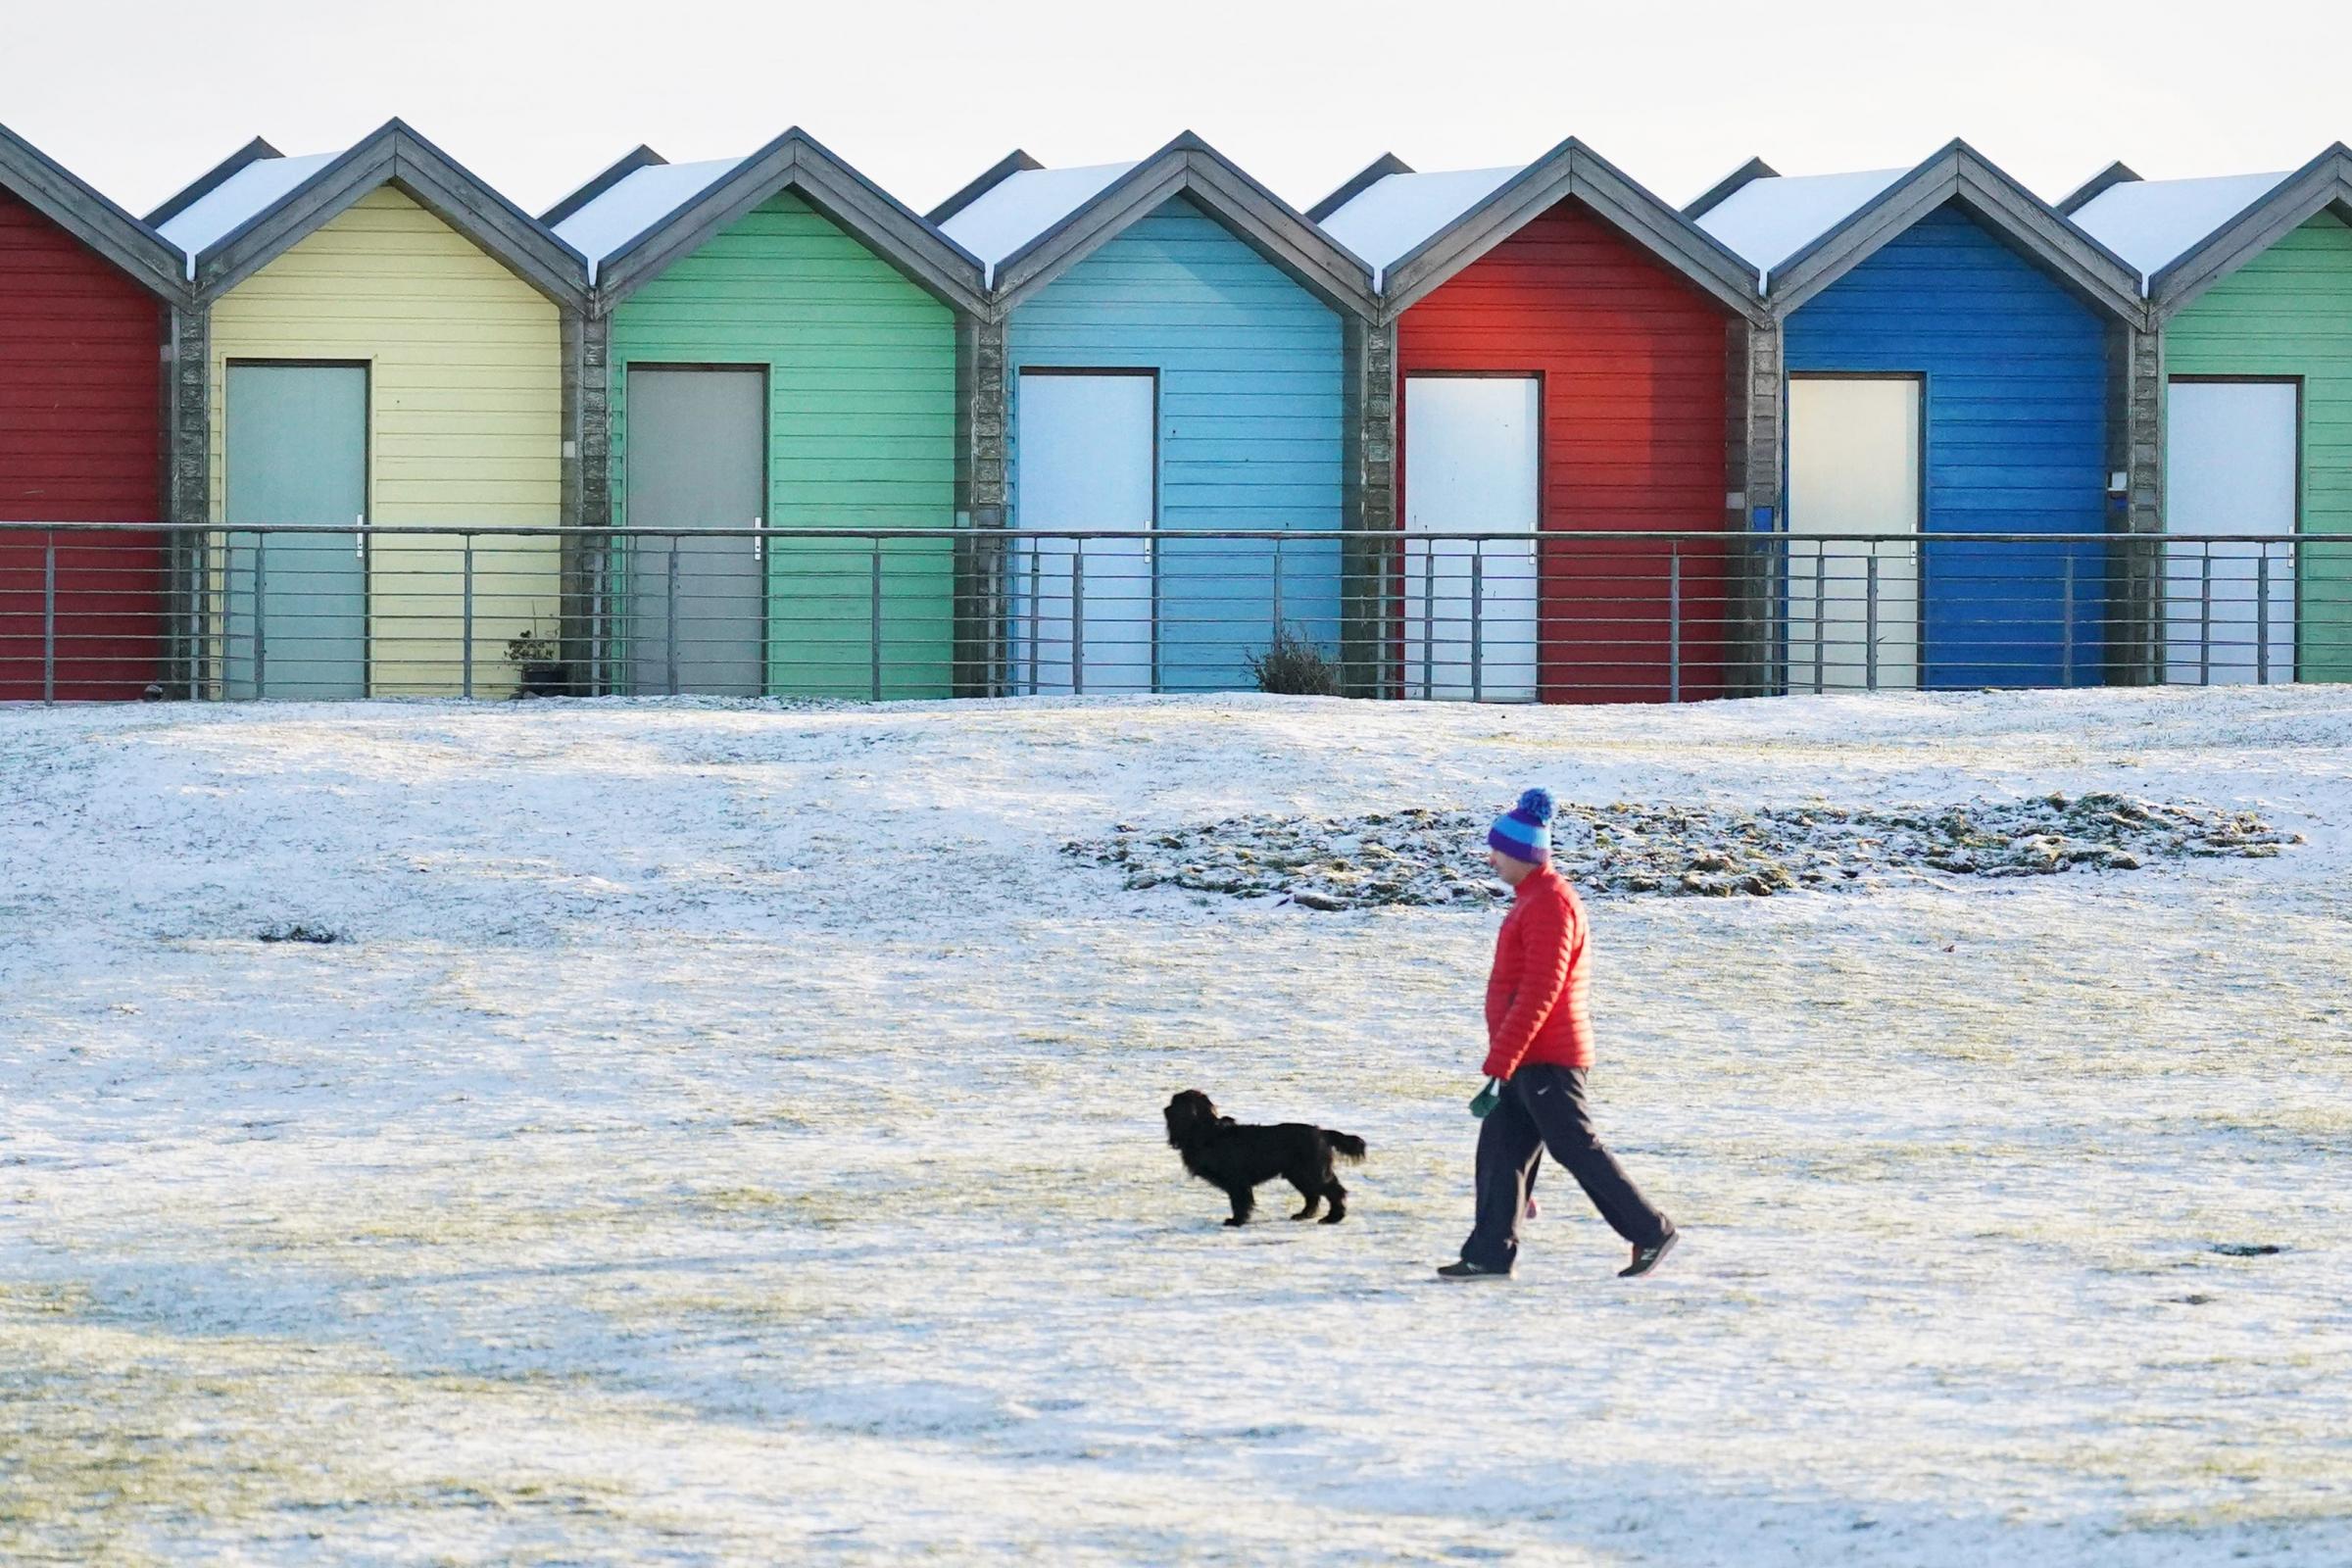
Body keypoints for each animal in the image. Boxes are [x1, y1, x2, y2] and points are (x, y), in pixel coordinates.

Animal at [1156, 1091, 1364, 1222]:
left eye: (1175, 1103)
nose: (1164, 1108)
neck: (1208, 1133)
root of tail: (1322, 1132)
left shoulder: (1237, 1180)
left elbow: (1240, 1202)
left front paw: (1236, 1221)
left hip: (1310, 1172)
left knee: (1335, 1191)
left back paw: (1332, 1218)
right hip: (1298, 1175)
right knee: (1313, 1196)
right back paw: (1303, 1215)